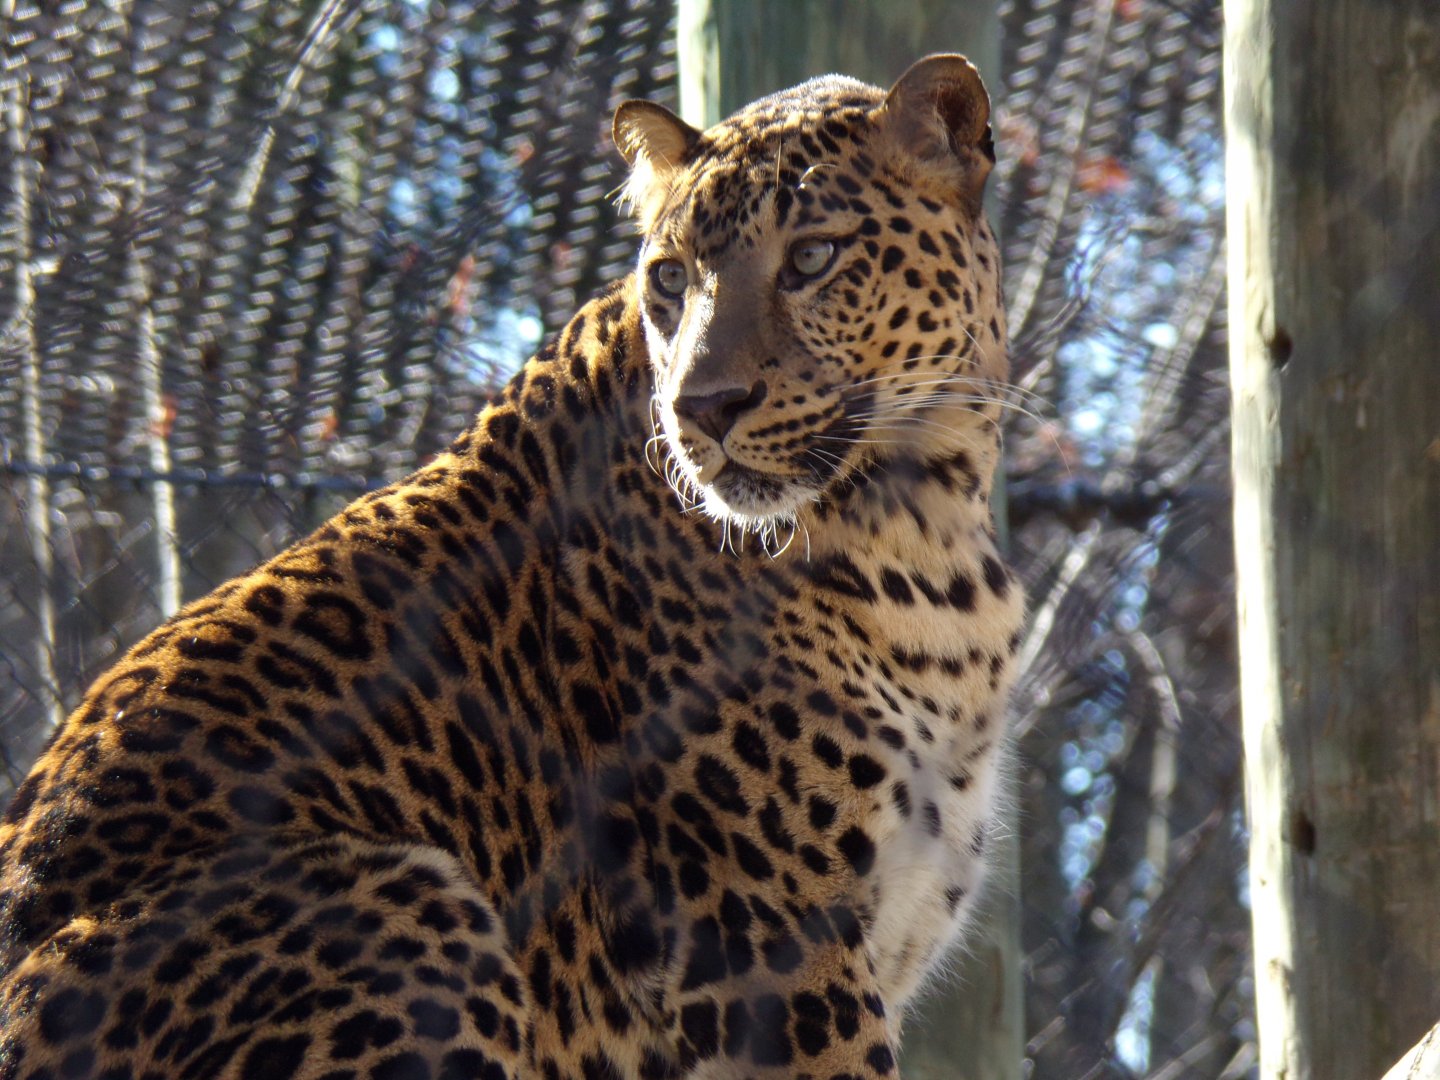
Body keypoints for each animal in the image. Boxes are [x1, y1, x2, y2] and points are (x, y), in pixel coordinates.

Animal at [0, 54, 1024, 1080]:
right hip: (398, 901)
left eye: (813, 258)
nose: (702, 408)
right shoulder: (773, 953)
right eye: (670, 277)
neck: (925, 520)